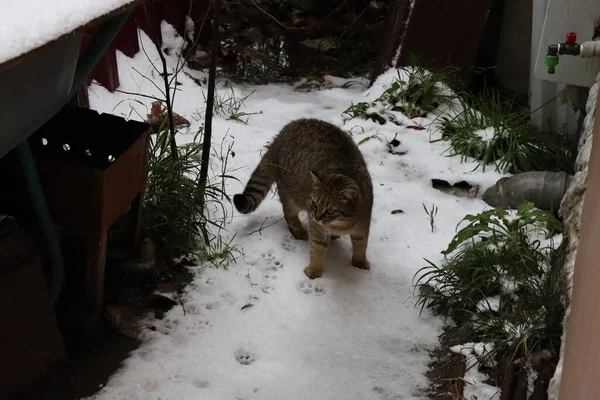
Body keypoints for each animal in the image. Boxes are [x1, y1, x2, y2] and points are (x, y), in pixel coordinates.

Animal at [233, 119, 370, 278]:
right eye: (314, 204)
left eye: (330, 210)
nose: (316, 216)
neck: (341, 224)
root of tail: (281, 134)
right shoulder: (317, 228)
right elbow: (317, 248)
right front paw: (314, 270)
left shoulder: (363, 227)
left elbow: (361, 245)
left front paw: (360, 263)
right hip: (291, 194)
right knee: (289, 213)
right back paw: (298, 230)